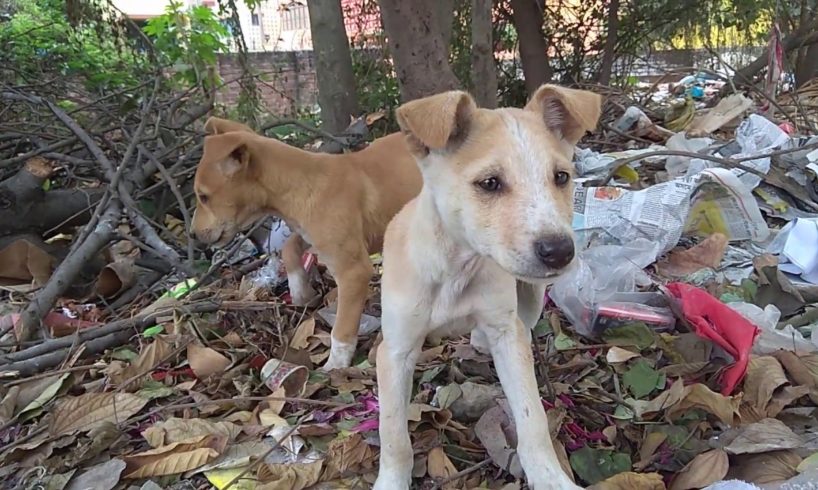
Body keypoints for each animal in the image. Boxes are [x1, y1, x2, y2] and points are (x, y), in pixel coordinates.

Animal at [191, 118, 420, 368]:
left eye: (204, 196)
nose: (192, 235)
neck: (302, 184)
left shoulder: (352, 271)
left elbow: (342, 329)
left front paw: (335, 365)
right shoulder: (309, 236)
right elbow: (289, 248)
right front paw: (300, 290)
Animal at [372, 85, 596, 490]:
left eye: (561, 177)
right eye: (489, 183)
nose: (560, 251)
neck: (458, 267)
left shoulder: (507, 335)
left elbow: (533, 417)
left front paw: (549, 476)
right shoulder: (395, 350)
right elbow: (393, 435)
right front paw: (391, 482)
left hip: (530, 299)